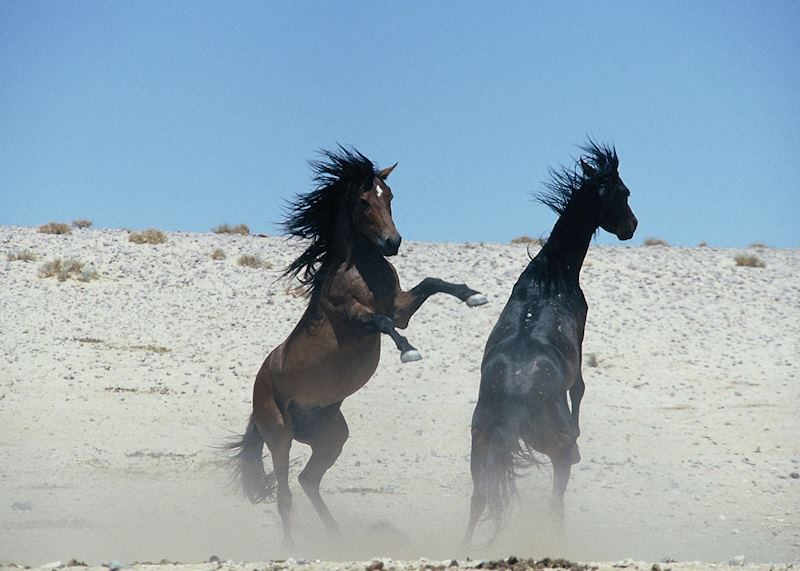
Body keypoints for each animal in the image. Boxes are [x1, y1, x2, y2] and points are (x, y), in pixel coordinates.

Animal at [226, 146, 488, 547]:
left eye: (390, 196)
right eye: (364, 201)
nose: (392, 244)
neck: (361, 269)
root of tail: (259, 394)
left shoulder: (400, 307)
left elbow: (431, 282)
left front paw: (473, 296)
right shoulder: (354, 316)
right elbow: (382, 323)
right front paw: (409, 351)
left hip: (331, 439)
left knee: (308, 481)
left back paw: (339, 538)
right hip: (280, 437)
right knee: (285, 493)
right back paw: (292, 547)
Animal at [463, 140, 638, 544]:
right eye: (624, 193)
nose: (632, 226)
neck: (550, 278)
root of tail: (514, 396)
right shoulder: (581, 338)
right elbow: (581, 387)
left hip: (479, 449)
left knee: (479, 500)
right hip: (553, 452)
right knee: (555, 502)